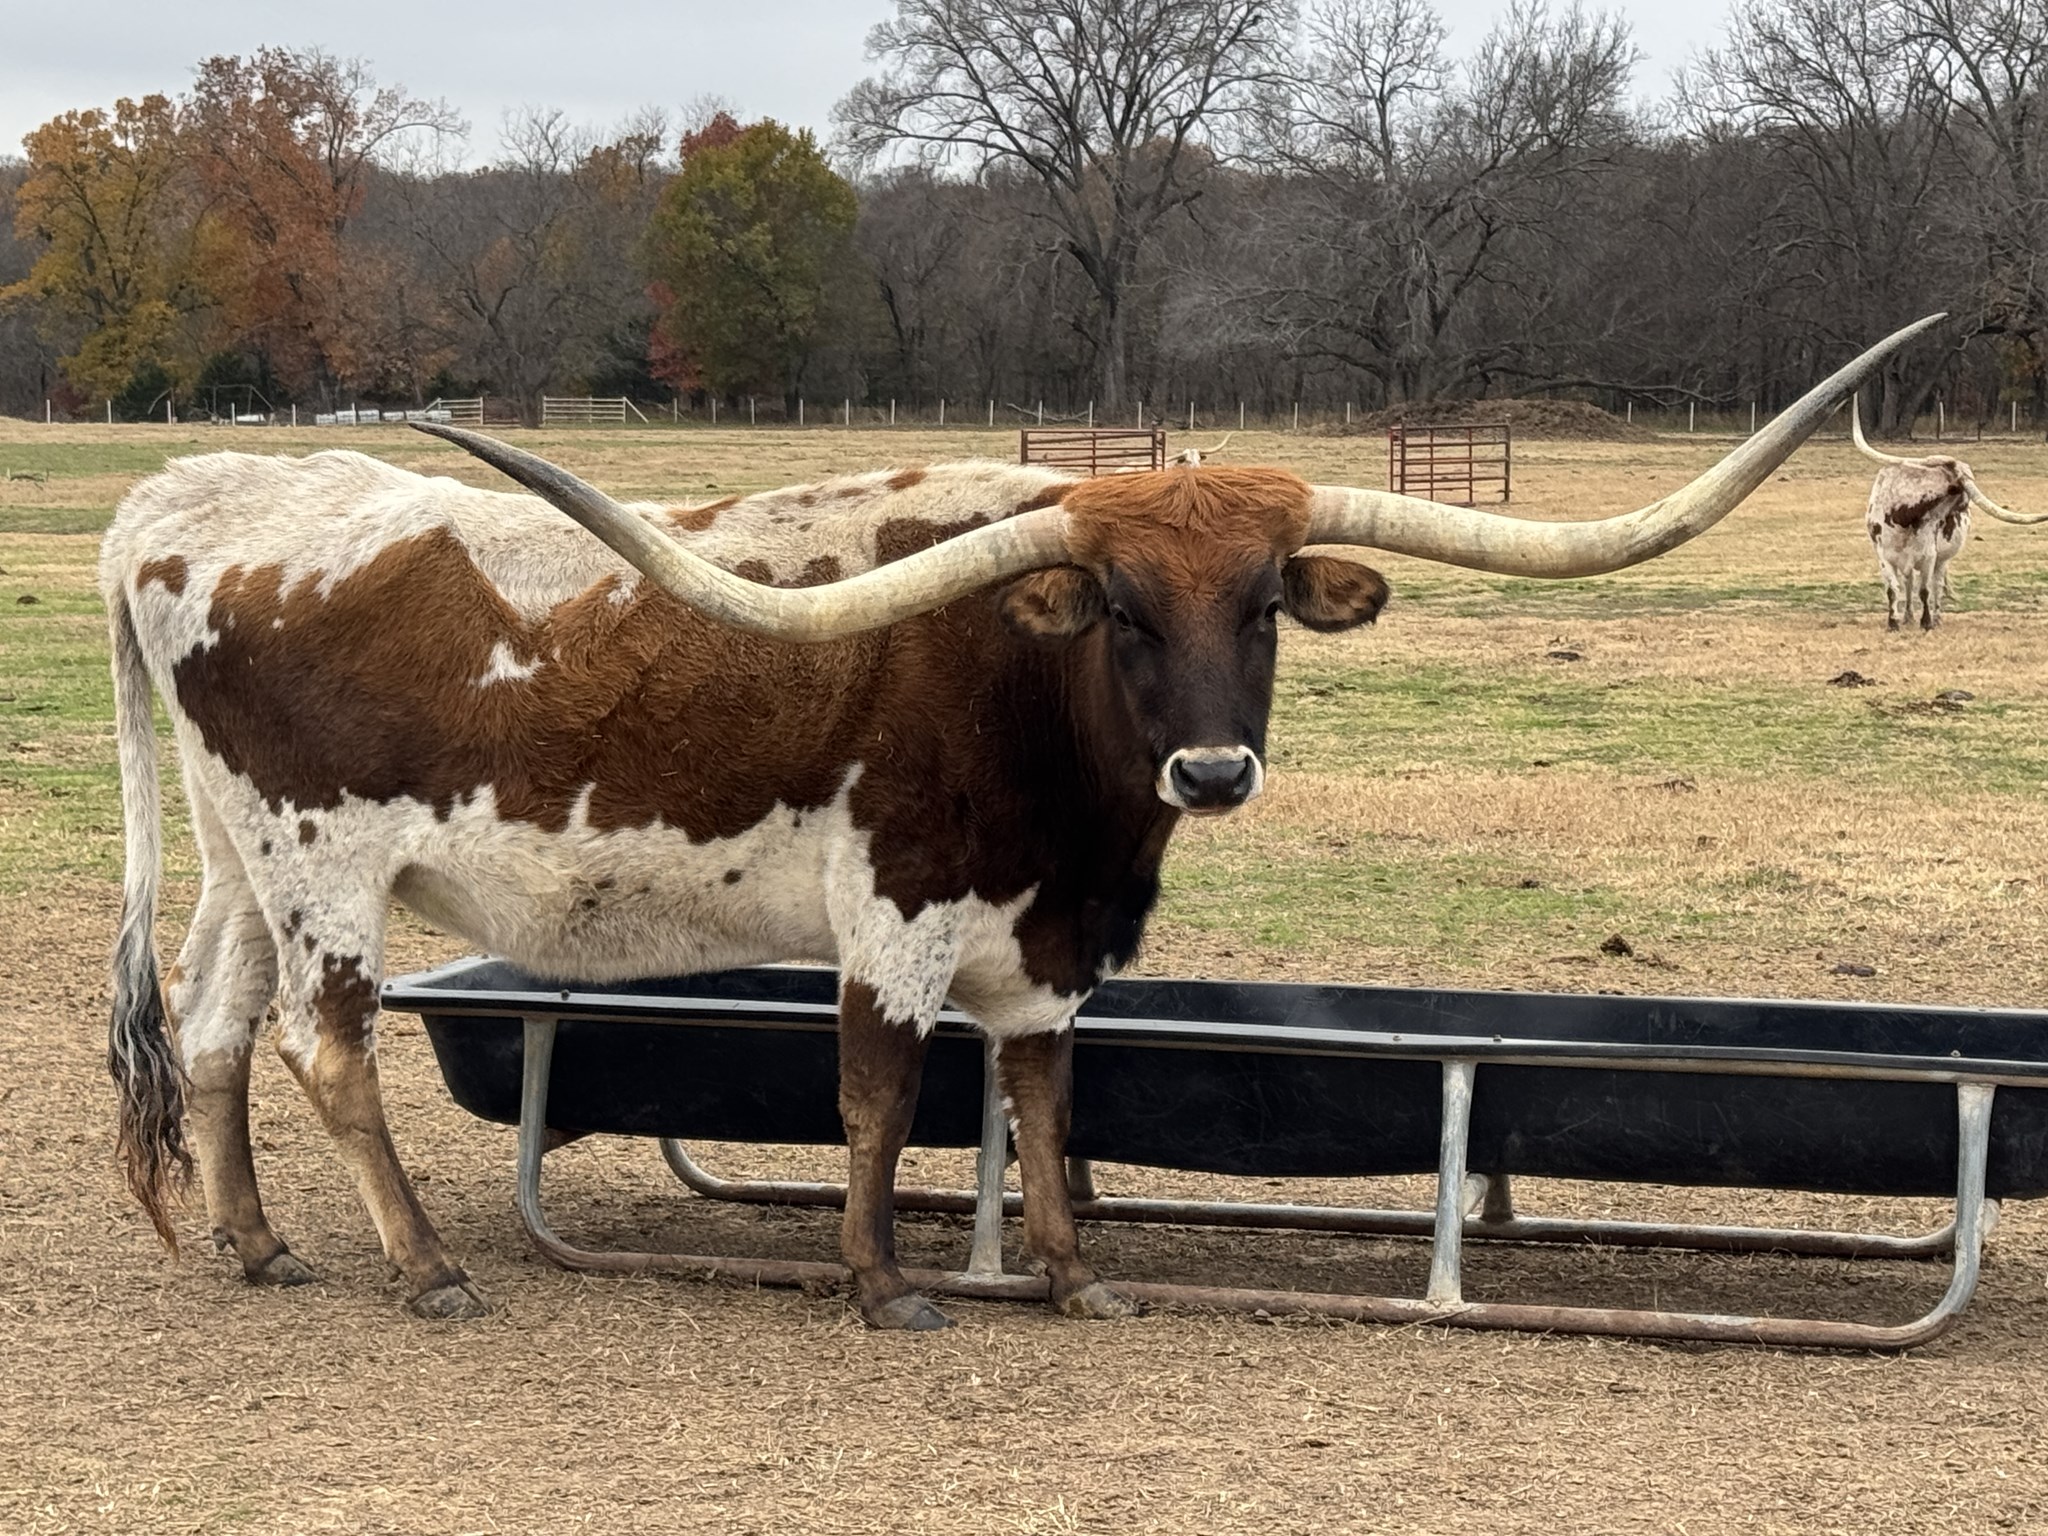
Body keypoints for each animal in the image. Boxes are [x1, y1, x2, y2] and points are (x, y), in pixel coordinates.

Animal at [101, 318, 1934, 1328]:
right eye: (1118, 611)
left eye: (1262, 606)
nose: (1211, 774)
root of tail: (187, 499)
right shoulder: (897, 916)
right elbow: (881, 1097)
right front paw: (878, 1283)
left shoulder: (1053, 941)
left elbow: (1046, 1099)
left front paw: (1065, 1273)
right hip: (326, 865)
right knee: (324, 1048)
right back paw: (420, 1265)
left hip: (243, 864)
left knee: (211, 1023)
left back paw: (253, 1243)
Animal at [1852, 395, 2045, 629]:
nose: (1965, 506)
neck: (1904, 516)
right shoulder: (1884, 557)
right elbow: (1893, 590)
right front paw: (1893, 623)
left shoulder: (1929, 556)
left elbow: (1925, 590)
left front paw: (1927, 623)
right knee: (1908, 583)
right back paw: (1907, 616)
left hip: (1942, 560)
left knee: (1935, 586)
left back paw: (1936, 617)